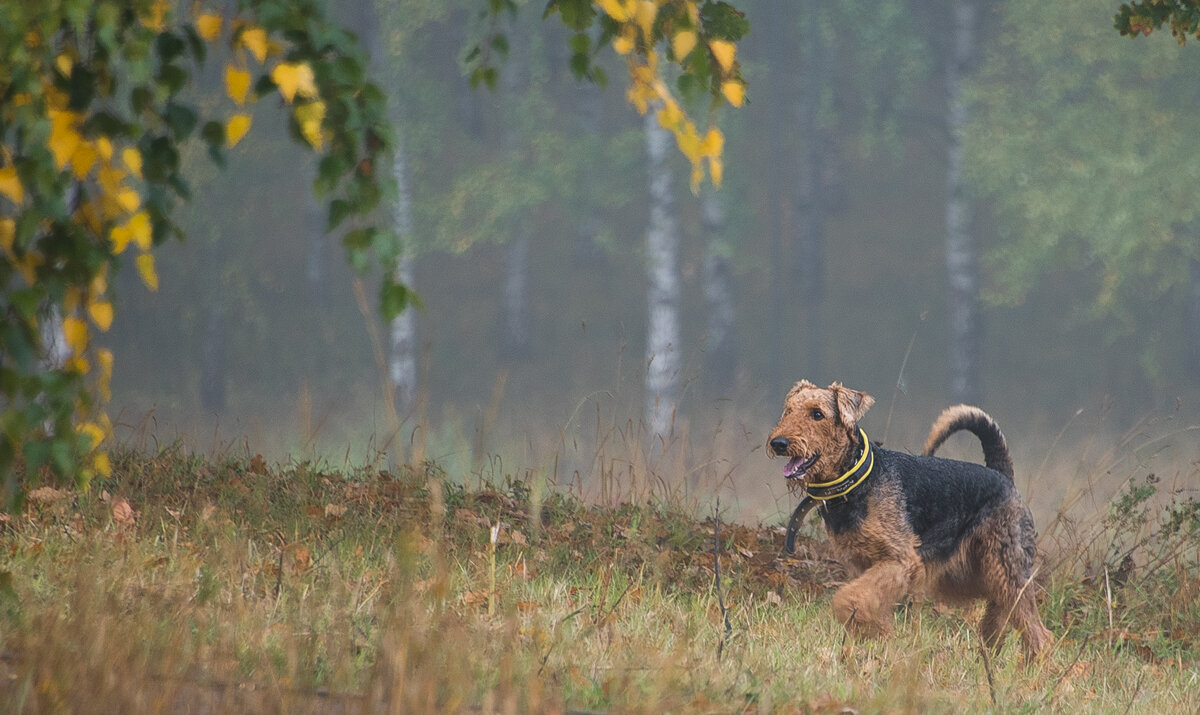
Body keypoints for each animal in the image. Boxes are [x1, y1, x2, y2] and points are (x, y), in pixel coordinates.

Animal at [768, 379, 1051, 657]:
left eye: (817, 414)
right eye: (789, 410)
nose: (778, 443)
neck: (857, 481)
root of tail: (1002, 474)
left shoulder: (901, 560)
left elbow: (848, 598)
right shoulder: (860, 564)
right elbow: (870, 603)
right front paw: (875, 640)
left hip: (1007, 568)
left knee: (1039, 633)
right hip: (976, 574)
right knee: (1000, 616)